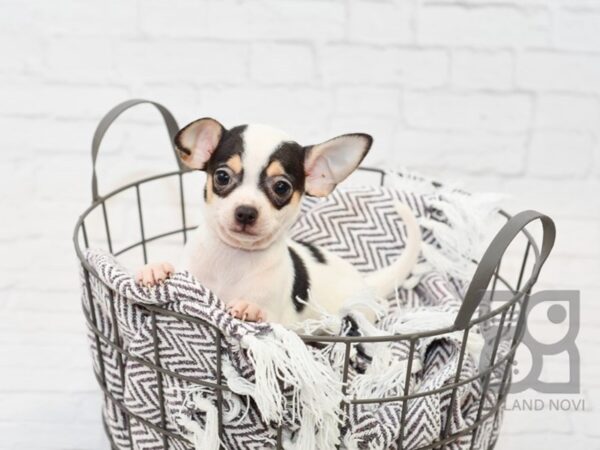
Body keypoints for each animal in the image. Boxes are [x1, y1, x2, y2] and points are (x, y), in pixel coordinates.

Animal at [137, 118, 422, 326]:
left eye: (282, 187)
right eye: (222, 177)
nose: (246, 212)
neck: (233, 257)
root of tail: (366, 282)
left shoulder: (280, 321)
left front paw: (251, 309)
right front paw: (156, 268)